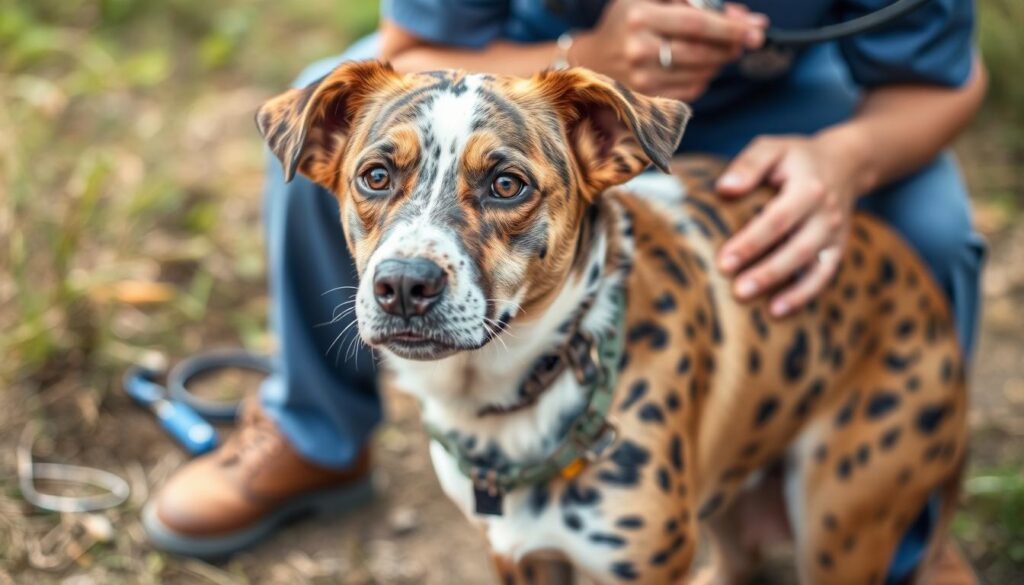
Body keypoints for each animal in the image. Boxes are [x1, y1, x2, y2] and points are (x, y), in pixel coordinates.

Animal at [256, 61, 966, 581]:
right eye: (374, 176)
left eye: (507, 184)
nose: (403, 284)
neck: (509, 408)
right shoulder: (515, 554)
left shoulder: (644, 563)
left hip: (840, 520)